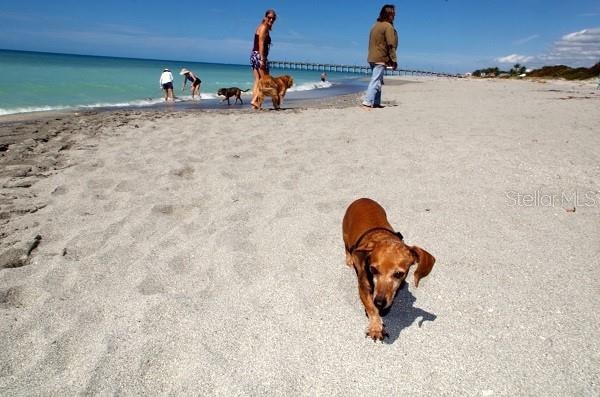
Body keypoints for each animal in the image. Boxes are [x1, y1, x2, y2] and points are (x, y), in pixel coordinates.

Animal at [342, 196, 436, 338]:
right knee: (347, 248)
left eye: (399, 274)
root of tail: (362, 198)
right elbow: (371, 308)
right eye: (373, 269)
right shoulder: (363, 289)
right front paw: (376, 327)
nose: (379, 302)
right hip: (345, 235)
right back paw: (349, 258)